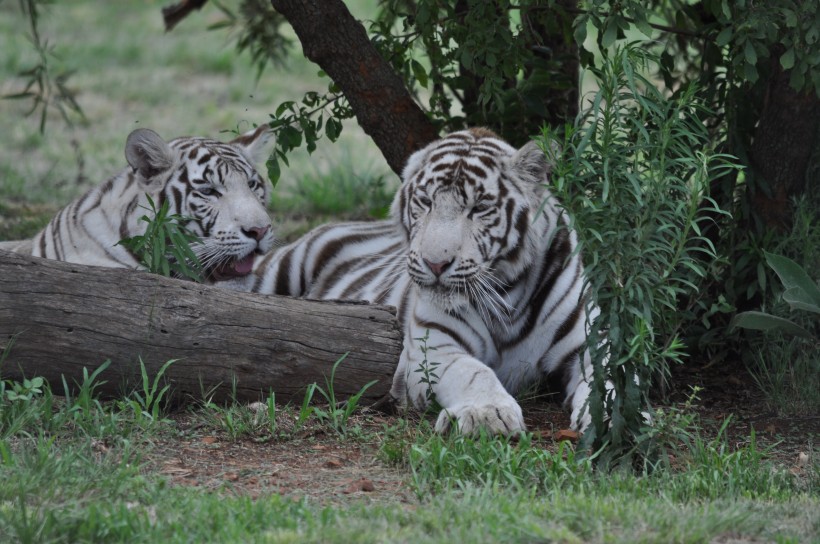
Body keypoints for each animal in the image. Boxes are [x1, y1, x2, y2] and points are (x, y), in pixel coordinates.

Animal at [224, 127, 596, 434]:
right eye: (426, 202)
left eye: (478, 208)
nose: (436, 263)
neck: (507, 296)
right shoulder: (434, 348)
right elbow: (475, 372)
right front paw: (486, 414)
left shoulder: (586, 343)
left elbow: (605, 380)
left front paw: (598, 416)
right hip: (279, 271)